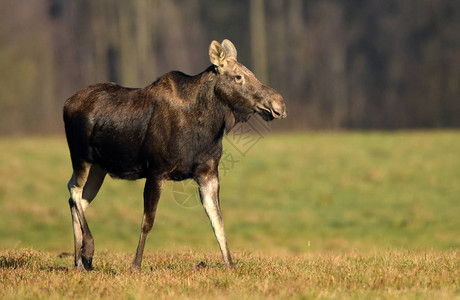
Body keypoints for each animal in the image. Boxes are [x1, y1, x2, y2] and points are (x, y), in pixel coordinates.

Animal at [63, 38, 288, 270]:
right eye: (238, 76)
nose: (279, 104)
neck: (206, 128)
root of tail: (66, 103)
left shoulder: (208, 173)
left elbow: (218, 222)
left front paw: (230, 265)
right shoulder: (156, 170)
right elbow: (147, 222)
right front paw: (135, 265)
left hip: (99, 167)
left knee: (80, 199)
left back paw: (80, 260)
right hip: (81, 157)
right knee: (74, 190)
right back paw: (87, 251)